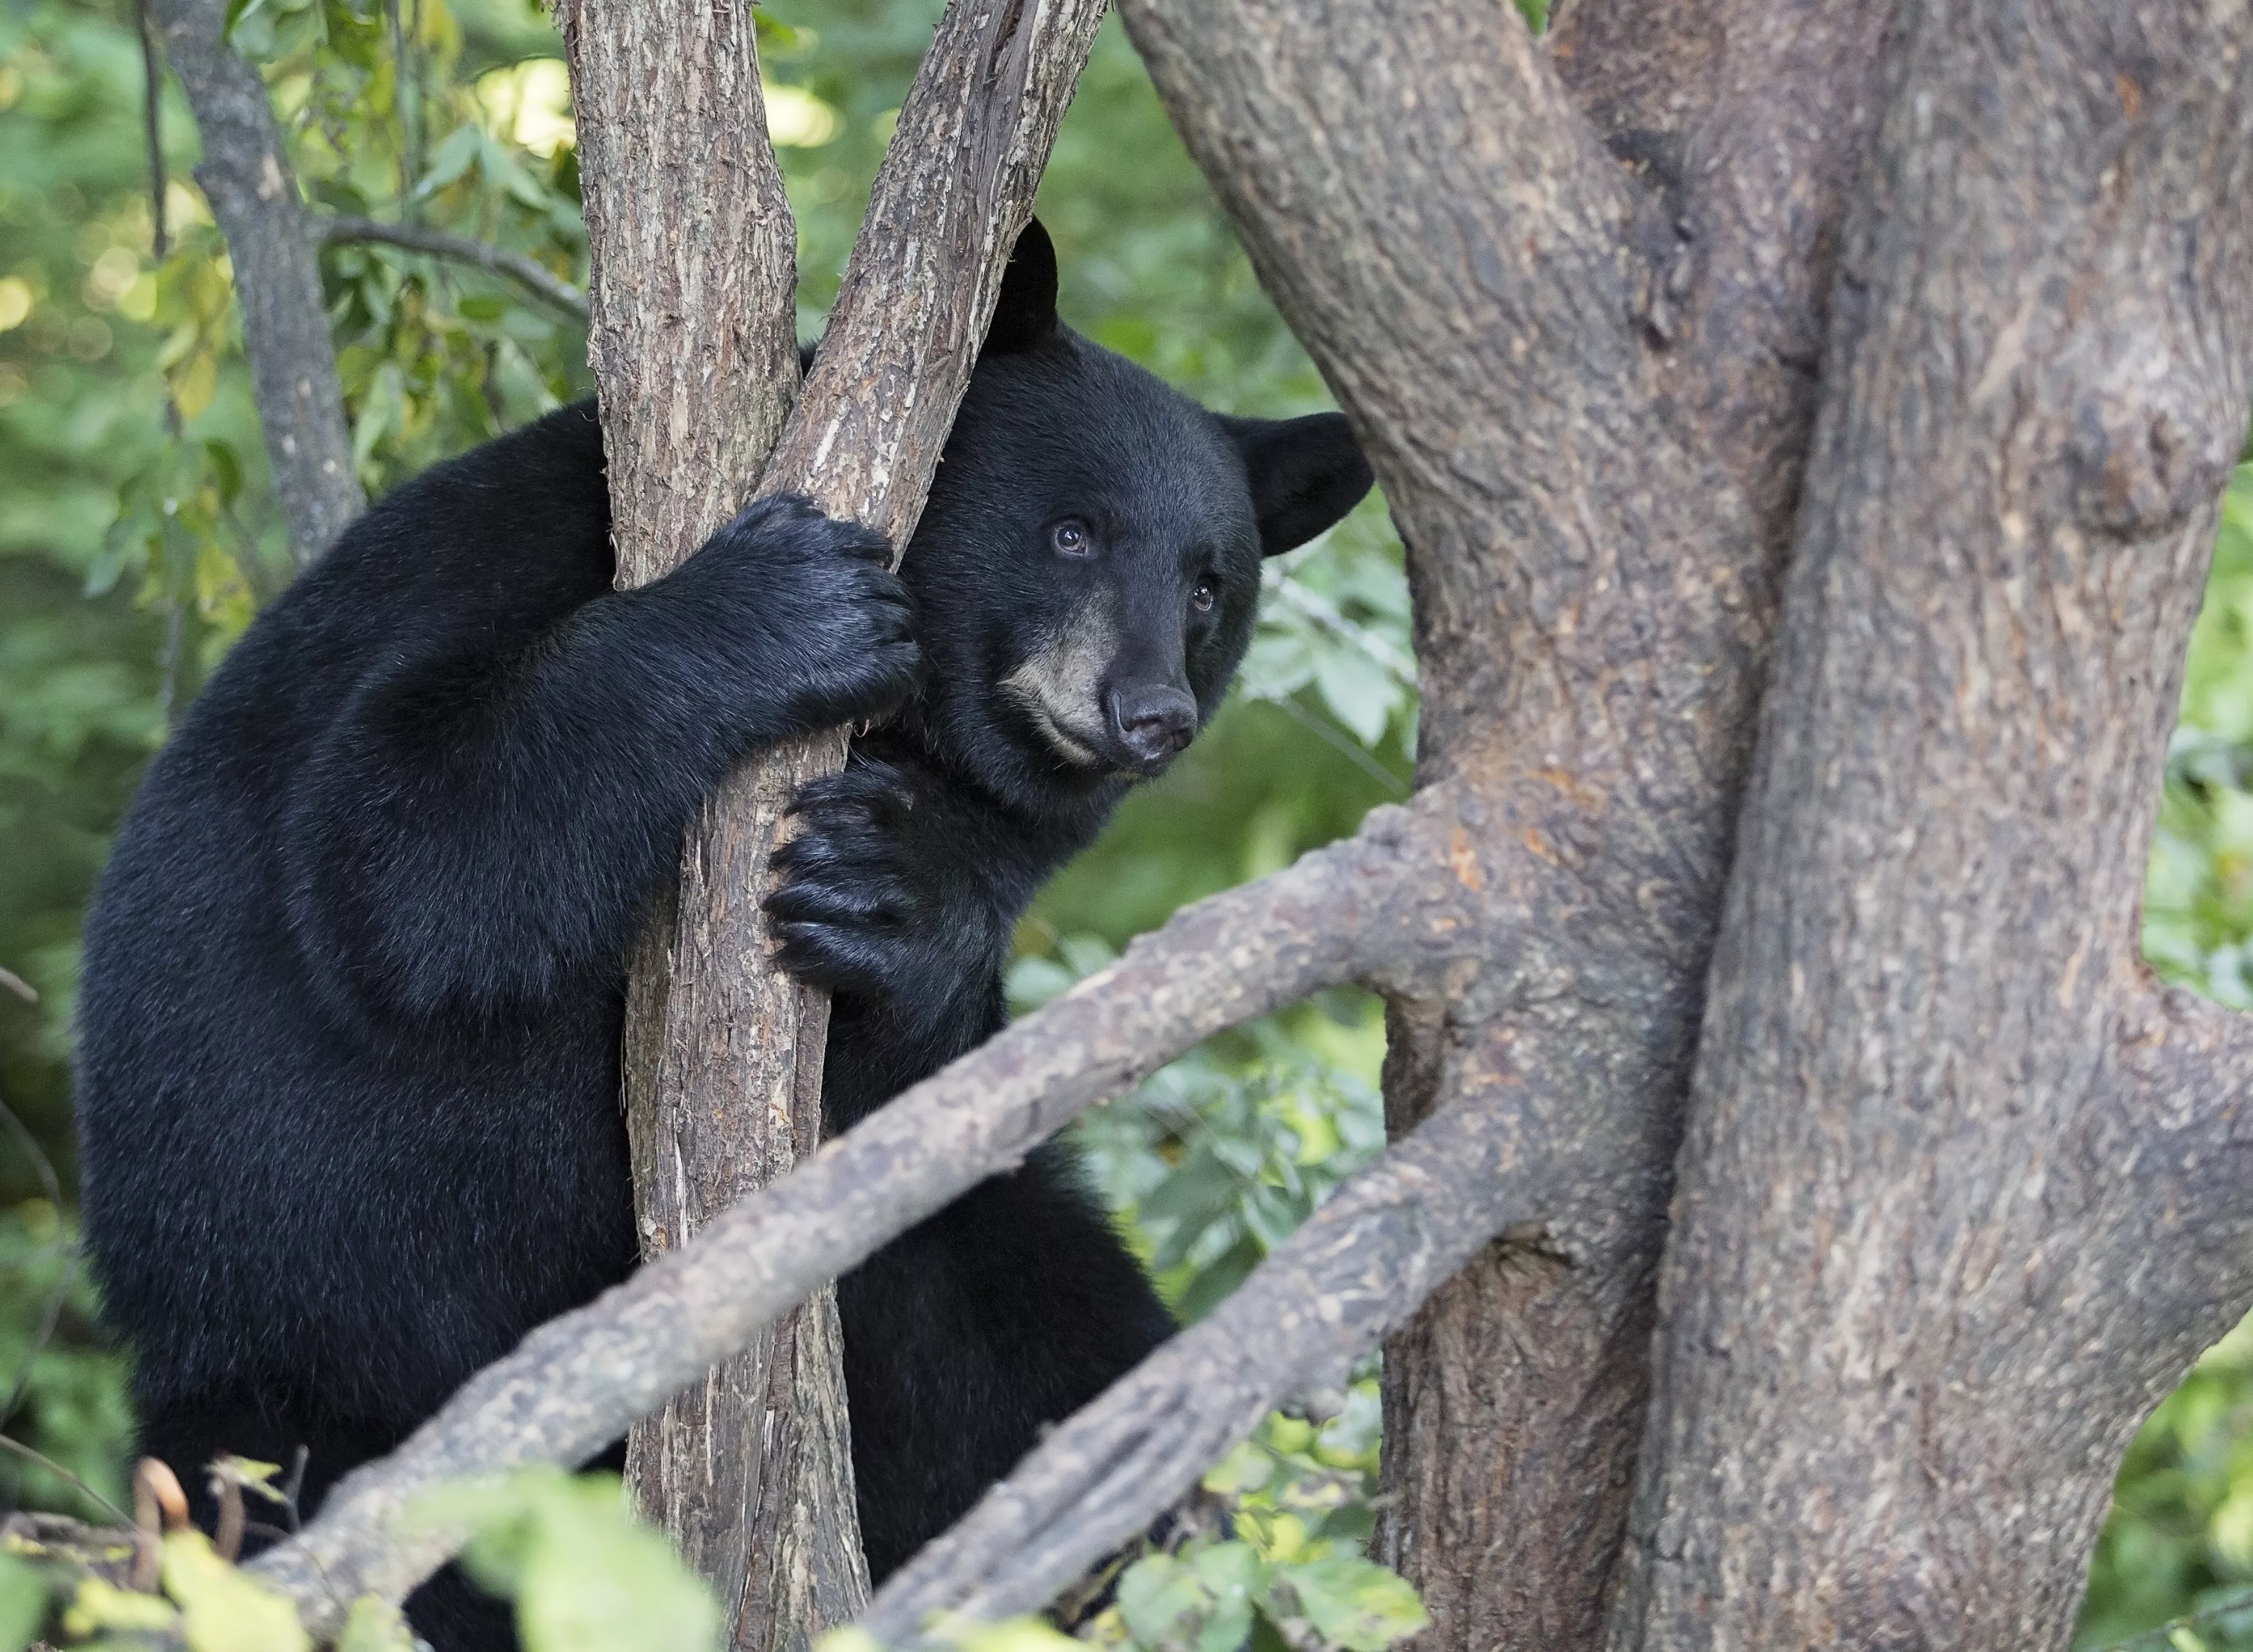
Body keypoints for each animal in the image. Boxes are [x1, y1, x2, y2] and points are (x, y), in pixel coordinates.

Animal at [73, 219, 1372, 1648]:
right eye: (1075, 531)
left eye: (1209, 587)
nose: (1150, 714)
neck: (920, 733)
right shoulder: (503, 567)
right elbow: (399, 858)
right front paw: (784, 607)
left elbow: (921, 1063)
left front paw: (888, 895)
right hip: (315, 1352)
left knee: (1044, 1331)